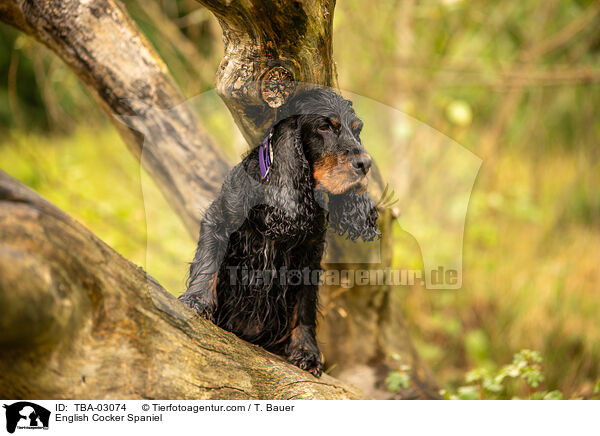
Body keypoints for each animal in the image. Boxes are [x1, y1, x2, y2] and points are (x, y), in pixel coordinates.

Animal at [177, 87, 380, 374]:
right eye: (324, 127)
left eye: (357, 129)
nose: (365, 164)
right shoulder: (219, 220)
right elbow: (208, 264)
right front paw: (196, 300)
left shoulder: (310, 256)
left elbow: (305, 306)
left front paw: (306, 351)